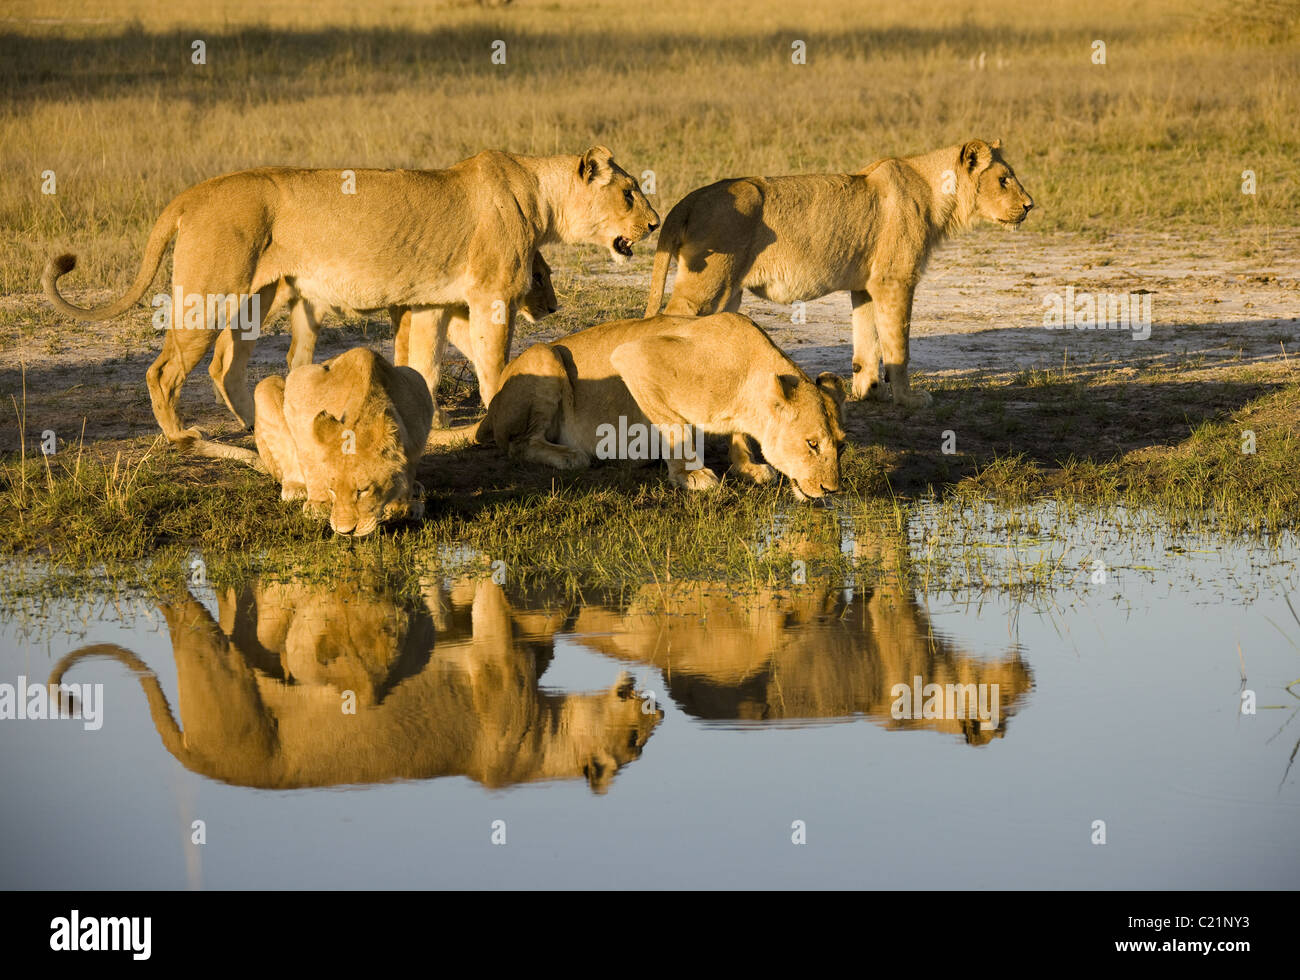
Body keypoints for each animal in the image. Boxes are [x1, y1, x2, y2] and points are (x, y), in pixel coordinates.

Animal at [44, 146, 655, 441]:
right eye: (629, 192)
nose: (652, 225)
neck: (540, 196)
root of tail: (193, 193)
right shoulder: (490, 294)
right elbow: (492, 362)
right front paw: (491, 407)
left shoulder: (432, 303)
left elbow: (423, 361)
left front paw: (429, 418)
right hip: (210, 292)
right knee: (164, 368)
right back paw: (179, 435)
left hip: (256, 297)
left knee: (226, 364)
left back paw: (255, 426)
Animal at [452, 310, 847, 496]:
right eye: (812, 444)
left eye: (841, 447)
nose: (831, 490)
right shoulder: (634, 357)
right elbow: (677, 426)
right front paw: (690, 475)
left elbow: (739, 436)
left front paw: (747, 466)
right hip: (545, 355)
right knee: (518, 444)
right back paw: (571, 456)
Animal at [642, 137, 1034, 405]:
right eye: (1004, 179)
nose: (1031, 206)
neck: (936, 193)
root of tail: (689, 198)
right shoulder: (895, 280)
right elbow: (898, 346)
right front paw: (908, 400)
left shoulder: (866, 286)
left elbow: (867, 342)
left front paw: (868, 392)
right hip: (706, 285)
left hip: (728, 292)